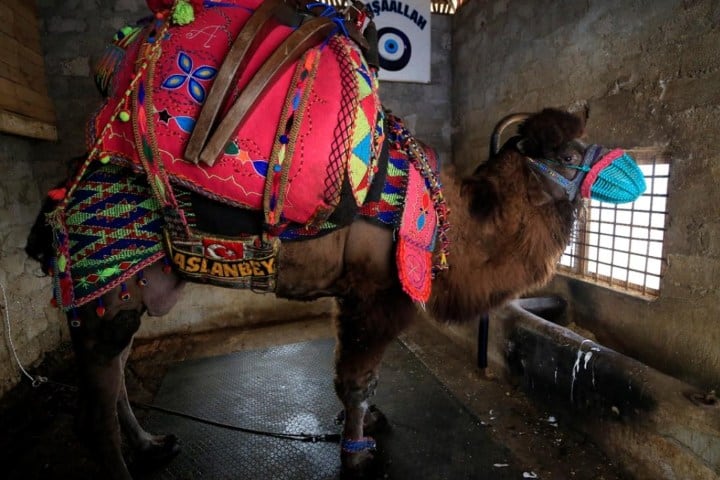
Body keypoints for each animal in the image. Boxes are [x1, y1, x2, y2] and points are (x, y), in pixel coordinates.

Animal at [23, 1, 648, 478]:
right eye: (567, 154)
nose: (635, 176)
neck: (458, 223)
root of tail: (59, 198)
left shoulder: (349, 295)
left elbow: (356, 379)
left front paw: (370, 426)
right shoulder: (379, 295)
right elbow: (356, 380)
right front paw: (357, 454)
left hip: (132, 290)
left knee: (117, 375)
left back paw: (154, 443)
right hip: (104, 292)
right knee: (96, 405)